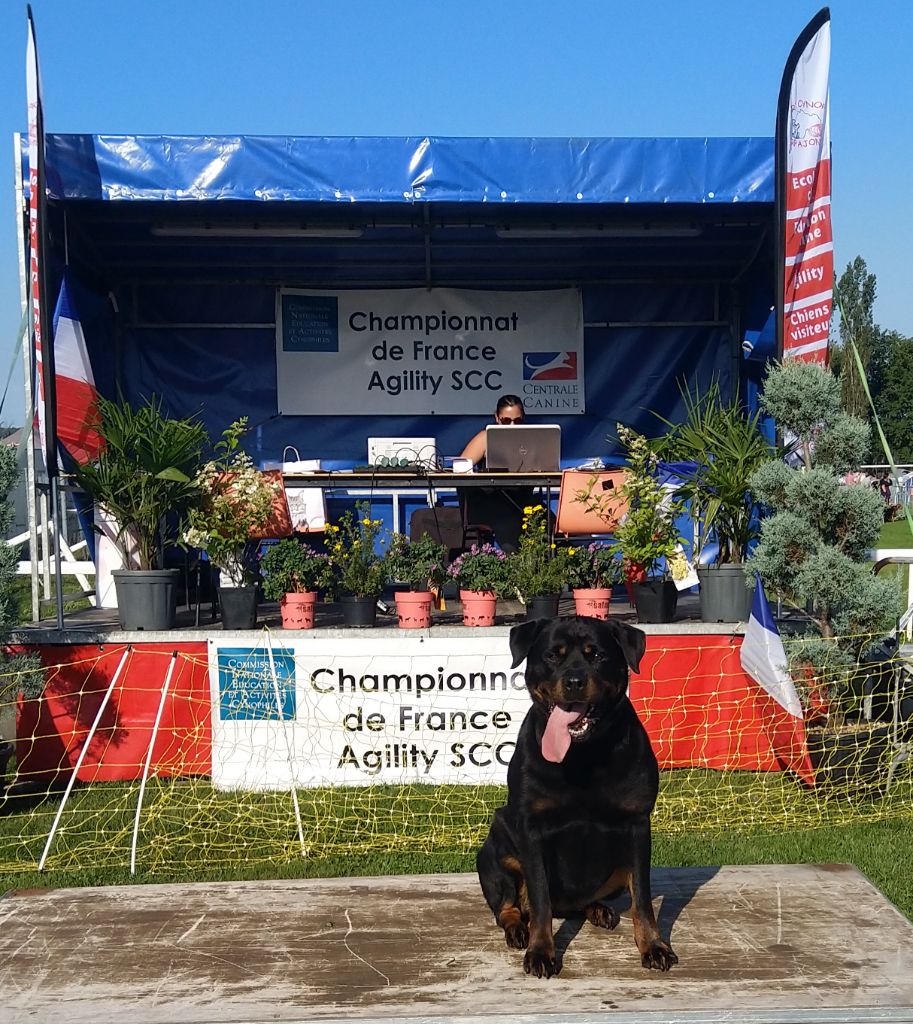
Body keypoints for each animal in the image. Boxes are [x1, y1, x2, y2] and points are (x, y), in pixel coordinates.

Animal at [476, 610, 679, 978]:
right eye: (552, 656)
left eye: (595, 655)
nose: (573, 681)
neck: (583, 755)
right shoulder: (532, 828)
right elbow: (540, 899)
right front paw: (541, 952)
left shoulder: (637, 824)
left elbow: (642, 899)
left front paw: (654, 946)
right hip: (495, 851)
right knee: (509, 905)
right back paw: (517, 929)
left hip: (617, 869)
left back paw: (597, 909)